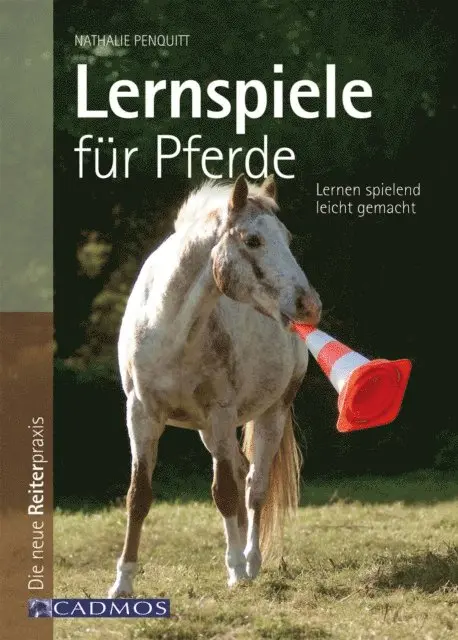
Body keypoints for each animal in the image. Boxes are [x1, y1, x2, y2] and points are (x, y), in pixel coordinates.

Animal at [108, 174, 322, 597]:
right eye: (253, 240)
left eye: (287, 238)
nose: (309, 305)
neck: (169, 327)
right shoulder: (141, 415)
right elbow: (138, 496)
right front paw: (123, 583)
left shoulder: (220, 414)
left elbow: (224, 493)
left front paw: (237, 571)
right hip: (208, 431)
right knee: (240, 473)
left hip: (270, 414)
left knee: (254, 485)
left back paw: (250, 562)